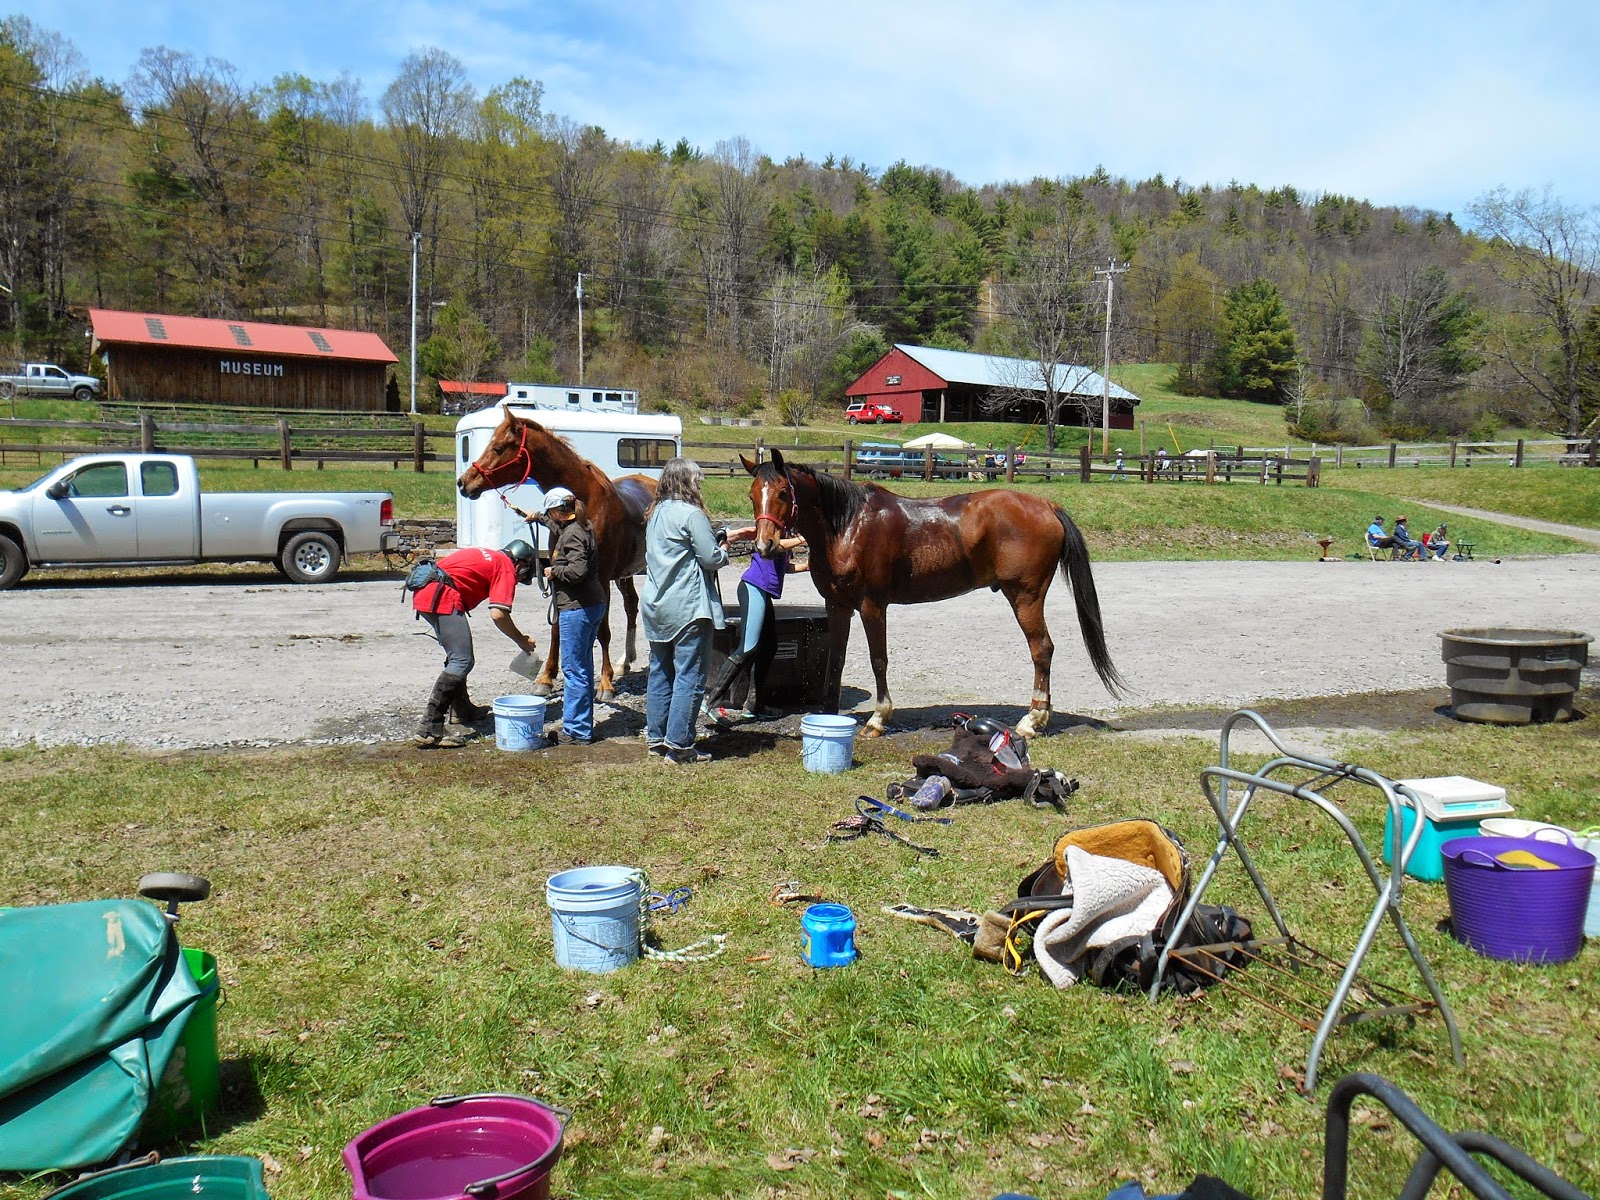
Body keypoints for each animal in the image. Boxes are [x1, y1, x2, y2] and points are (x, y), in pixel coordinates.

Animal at [457, 406, 654, 702]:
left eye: (498, 447)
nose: (464, 483)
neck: (583, 502)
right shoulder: (559, 574)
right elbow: (556, 628)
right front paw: (547, 678)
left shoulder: (600, 578)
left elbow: (603, 630)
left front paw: (605, 683)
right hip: (624, 574)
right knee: (631, 605)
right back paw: (625, 662)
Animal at [744, 448, 1125, 736]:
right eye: (752, 495)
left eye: (782, 493)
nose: (764, 545)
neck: (848, 525)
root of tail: (1047, 505)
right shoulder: (837, 605)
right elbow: (835, 660)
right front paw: (829, 714)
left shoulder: (872, 606)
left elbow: (878, 659)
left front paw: (879, 718)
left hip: (1025, 598)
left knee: (1042, 649)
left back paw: (1032, 720)